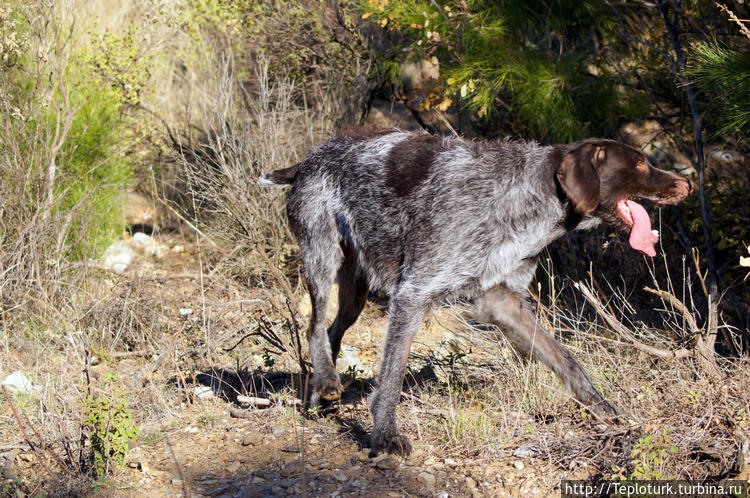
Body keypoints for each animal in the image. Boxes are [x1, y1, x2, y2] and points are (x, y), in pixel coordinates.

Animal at [260, 128, 692, 456]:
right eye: (639, 164)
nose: (687, 183)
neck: (523, 197)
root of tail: (307, 161)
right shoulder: (413, 295)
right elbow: (392, 376)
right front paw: (384, 436)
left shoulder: (502, 301)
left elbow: (565, 359)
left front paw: (603, 408)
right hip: (323, 255)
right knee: (314, 325)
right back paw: (326, 382)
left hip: (355, 289)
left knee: (331, 332)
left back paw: (318, 393)